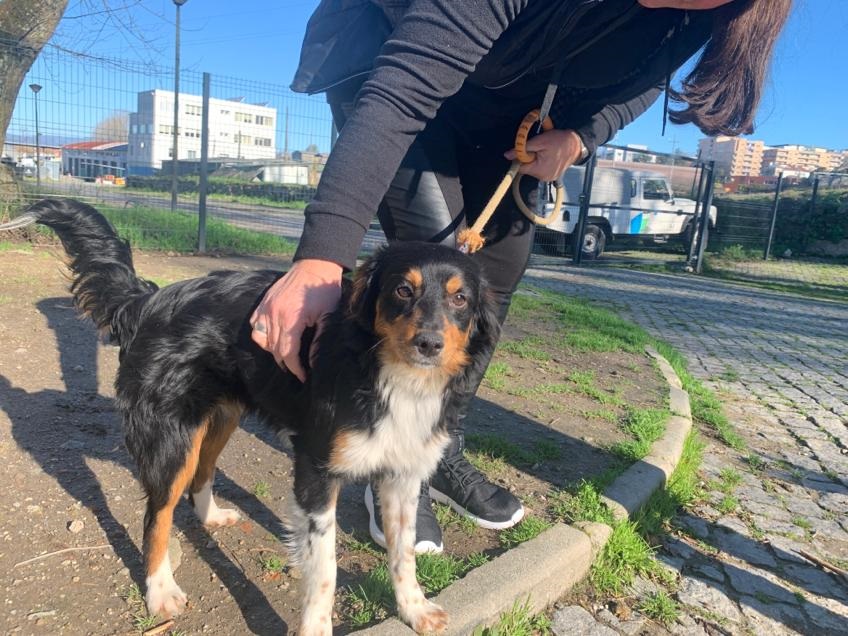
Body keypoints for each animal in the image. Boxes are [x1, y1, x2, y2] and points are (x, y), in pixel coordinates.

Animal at [6, 198, 498, 635]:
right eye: (402, 290)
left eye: (460, 299)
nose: (430, 344)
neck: (391, 374)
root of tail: (149, 299)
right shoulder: (316, 471)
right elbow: (324, 568)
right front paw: (315, 629)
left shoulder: (403, 473)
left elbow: (403, 553)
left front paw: (414, 610)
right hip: (171, 439)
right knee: (157, 515)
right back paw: (160, 590)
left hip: (221, 418)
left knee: (201, 475)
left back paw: (209, 516)